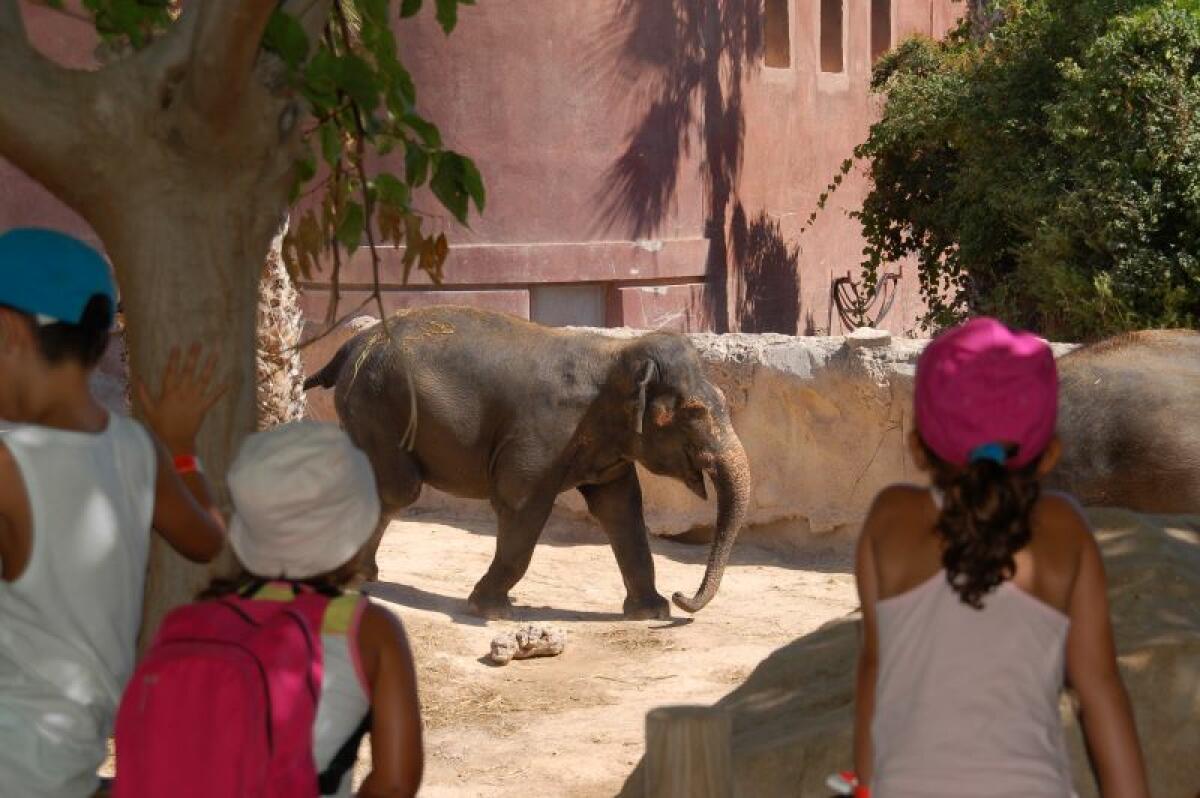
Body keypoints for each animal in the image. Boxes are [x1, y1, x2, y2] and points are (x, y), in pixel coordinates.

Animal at [302, 304, 748, 614]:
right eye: (695, 413)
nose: (681, 596)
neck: (616, 355)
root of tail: (353, 343)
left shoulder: (608, 451)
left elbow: (620, 509)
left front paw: (650, 611)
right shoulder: (541, 437)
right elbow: (521, 504)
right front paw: (488, 609)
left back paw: (361, 575)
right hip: (378, 407)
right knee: (397, 489)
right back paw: (349, 576)